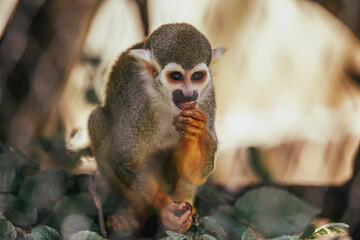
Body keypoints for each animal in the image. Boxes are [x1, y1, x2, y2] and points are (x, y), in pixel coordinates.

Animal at [87, 23, 224, 234]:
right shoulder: (136, 99)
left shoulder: (206, 96)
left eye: (197, 76)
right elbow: (125, 159)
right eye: (176, 76)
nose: (189, 93)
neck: (164, 97)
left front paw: (197, 130)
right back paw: (139, 211)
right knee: (98, 121)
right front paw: (166, 208)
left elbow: (197, 174)